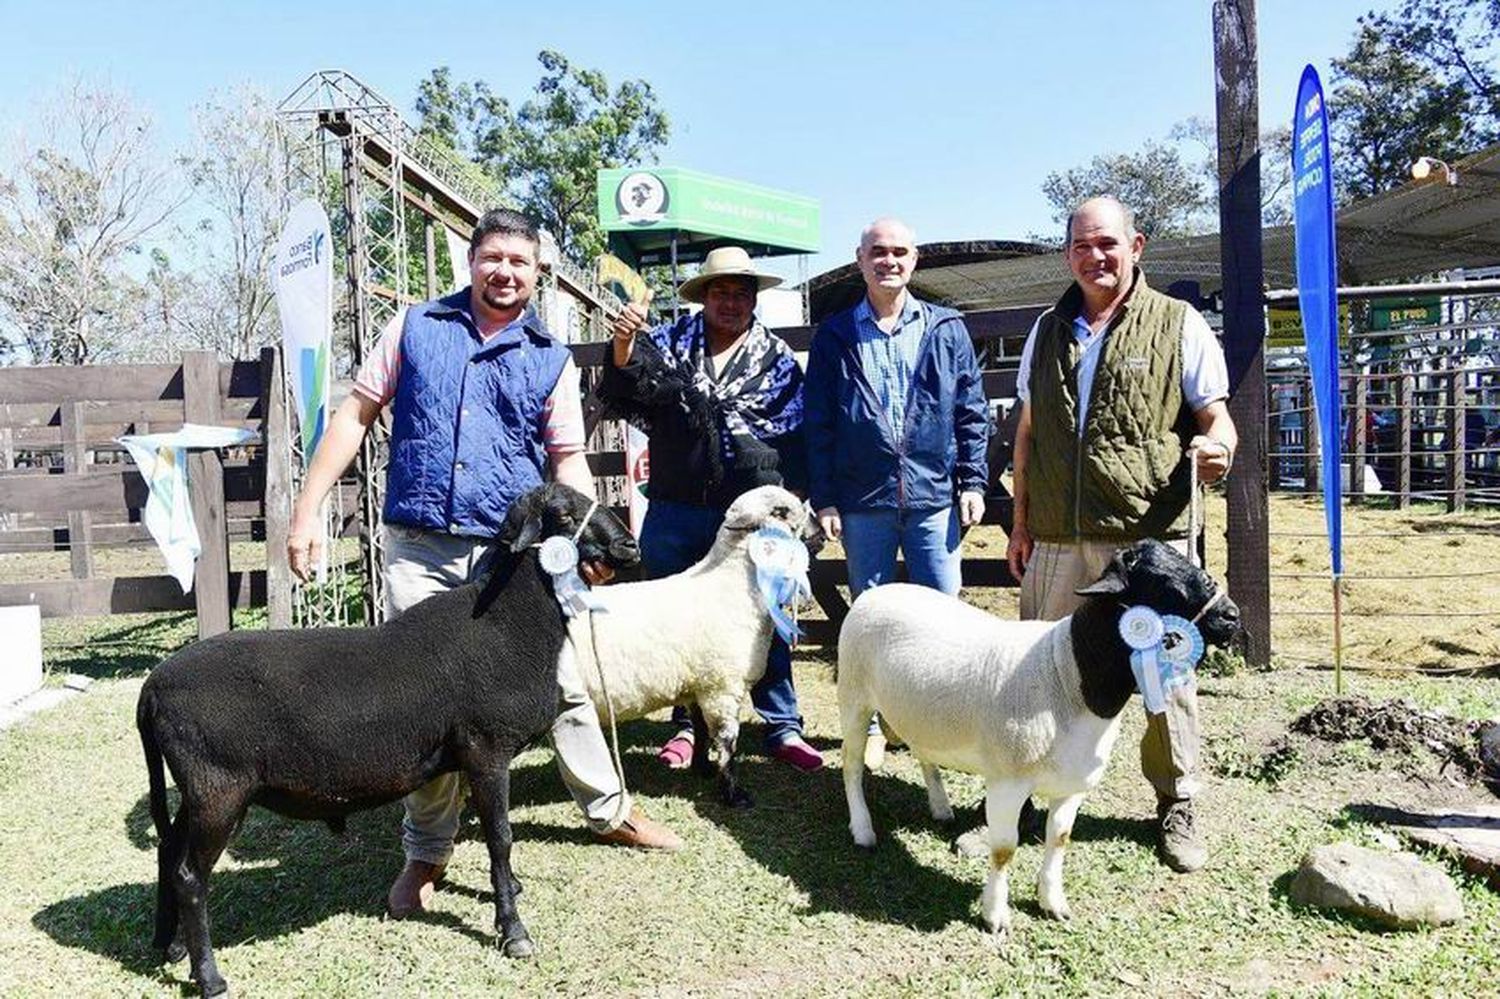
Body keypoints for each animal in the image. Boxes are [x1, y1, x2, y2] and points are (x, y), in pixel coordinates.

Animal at [567, 486, 816, 804]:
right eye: (782, 511)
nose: (820, 533)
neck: (730, 584)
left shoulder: (700, 686)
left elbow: (701, 730)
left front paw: (702, 768)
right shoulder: (721, 688)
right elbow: (727, 742)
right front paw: (733, 794)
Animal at [834, 540, 1242, 936]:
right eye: (1164, 584)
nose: (1231, 616)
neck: (1068, 673)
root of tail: (878, 590)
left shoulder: (1073, 785)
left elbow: (1059, 840)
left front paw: (1053, 904)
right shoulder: (1007, 783)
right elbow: (1004, 850)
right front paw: (995, 916)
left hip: (918, 711)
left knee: (923, 752)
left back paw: (940, 807)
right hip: (854, 698)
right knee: (851, 766)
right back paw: (863, 830)